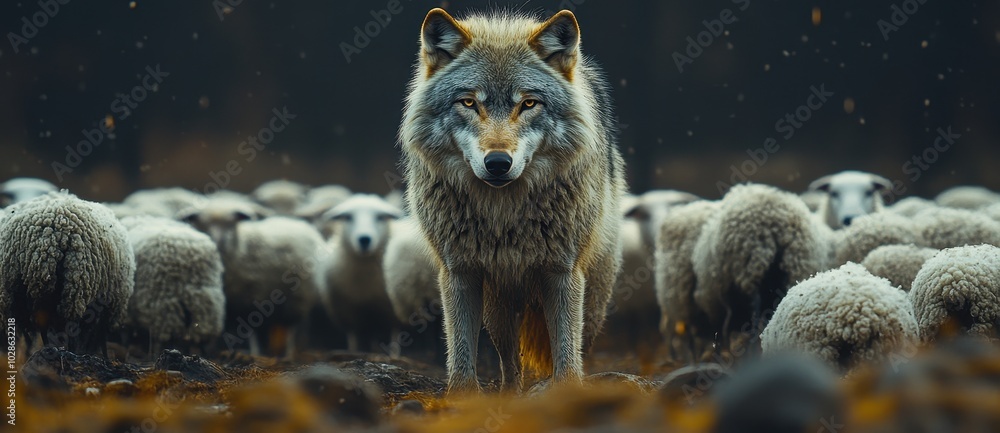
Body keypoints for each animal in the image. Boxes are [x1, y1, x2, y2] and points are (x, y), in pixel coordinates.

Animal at [400, 8, 625, 393]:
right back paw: (510, 394)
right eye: (469, 102)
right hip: (498, 306)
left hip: (593, 300)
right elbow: (461, 349)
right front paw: (462, 397)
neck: (503, 215)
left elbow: (566, 352)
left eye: (528, 103)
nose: (497, 163)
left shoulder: (562, 272)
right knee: (509, 359)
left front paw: (567, 392)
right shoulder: (460, 271)